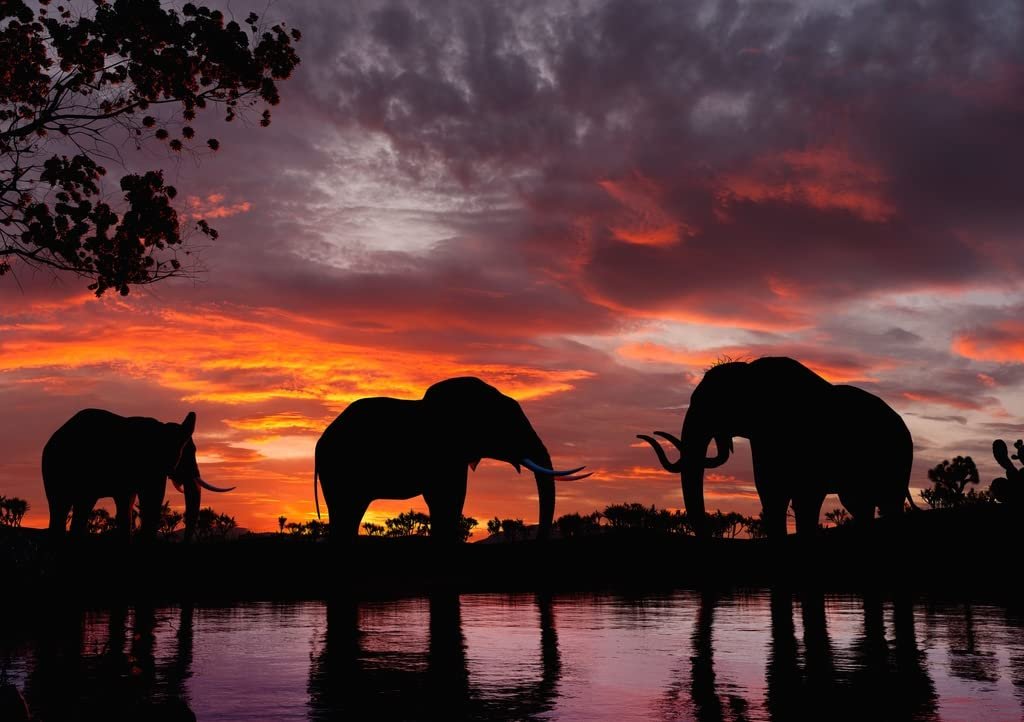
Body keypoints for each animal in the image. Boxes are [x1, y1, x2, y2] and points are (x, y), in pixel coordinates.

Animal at [42, 408, 233, 541]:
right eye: (191, 452)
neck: (162, 428)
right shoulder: (150, 466)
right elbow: (151, 502)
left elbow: (126, 507)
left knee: (71, 509)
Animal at [314, 377, 590, 542]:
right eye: (507, 424)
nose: (539, 539)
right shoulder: (442, 451)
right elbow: (445, 497)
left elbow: (453, 499)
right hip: (338, 467)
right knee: (345, 509)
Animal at [638, 356, 913, 538]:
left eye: (711, 406)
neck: (749, 373)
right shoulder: (764, 440)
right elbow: (771, 495)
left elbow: (806, 499)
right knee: (861, 506)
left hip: (899, 458)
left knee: (890, 505)